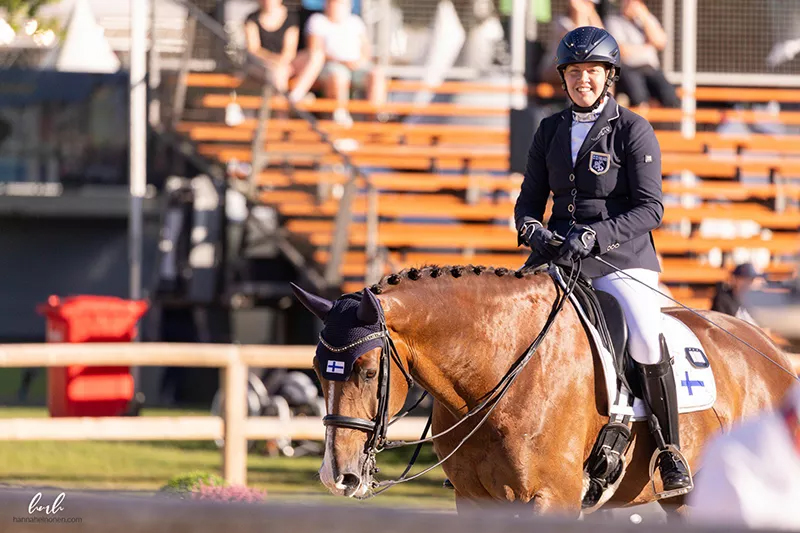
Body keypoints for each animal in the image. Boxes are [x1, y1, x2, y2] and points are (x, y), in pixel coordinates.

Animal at [290, 264, 796, 516]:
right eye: (316, 369)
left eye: (367, 372)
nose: (337, 476)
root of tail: (771, 353)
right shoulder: (476, 501)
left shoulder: (553, 499)